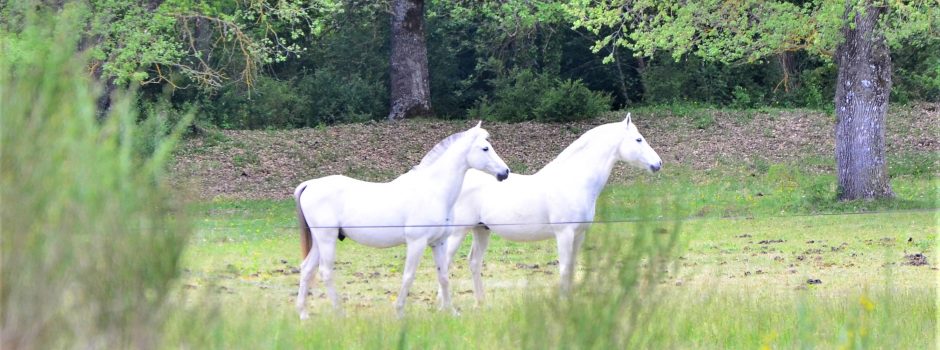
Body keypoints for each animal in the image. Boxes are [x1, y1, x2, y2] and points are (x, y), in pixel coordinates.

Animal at [296, 121, 510, 318]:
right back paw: (340, 313)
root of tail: (309, 185)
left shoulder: (439, 242)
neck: (434, 191)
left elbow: (443, 276)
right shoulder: (417, 242)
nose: (505, 172)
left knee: (306, 269)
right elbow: (408, 276)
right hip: (327, 239)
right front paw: (399, 311)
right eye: (485, 148)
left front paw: (450, 311)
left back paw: (304, 314)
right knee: (325, 272)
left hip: (319, 241)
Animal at [446, 113, 660, 302]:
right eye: (639, 139)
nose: (658, 163)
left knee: (474, 262)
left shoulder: (579, 234)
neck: (575, 182)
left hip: (481, 230)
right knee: (445, 262)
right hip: (458, 232)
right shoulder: (564, 233)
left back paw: (481, 303)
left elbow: (572, 268)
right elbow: (564, 269)